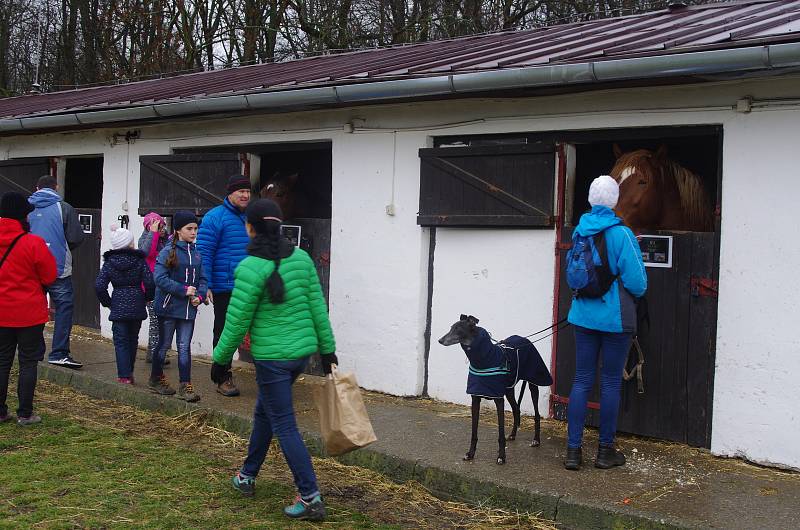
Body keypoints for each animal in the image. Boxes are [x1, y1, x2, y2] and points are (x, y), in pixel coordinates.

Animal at [440, 314, 552, 462]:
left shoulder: (499, 399)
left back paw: (536, 440)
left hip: (533, 383)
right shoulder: (475, 398)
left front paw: (501, 457)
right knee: (516, 409)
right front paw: (470, 453)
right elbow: (474, 432)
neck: (484, 359)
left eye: (458, 328)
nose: (440, 340)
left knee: (537, 414)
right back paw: (513, 435)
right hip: (509, 389)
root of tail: (525, 339)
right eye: (451, 327)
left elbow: (500, 432)